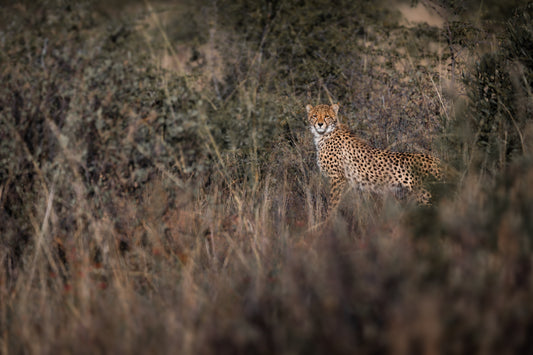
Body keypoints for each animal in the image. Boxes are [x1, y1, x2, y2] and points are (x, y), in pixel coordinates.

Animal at [306, 103, 442, 214]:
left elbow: (332, 204)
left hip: (425, 197)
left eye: (326, 116)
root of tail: (437, 160)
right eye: (314, 116)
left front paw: (327, 222)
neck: (323, 135)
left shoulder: (337, 179)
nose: (320, 124)